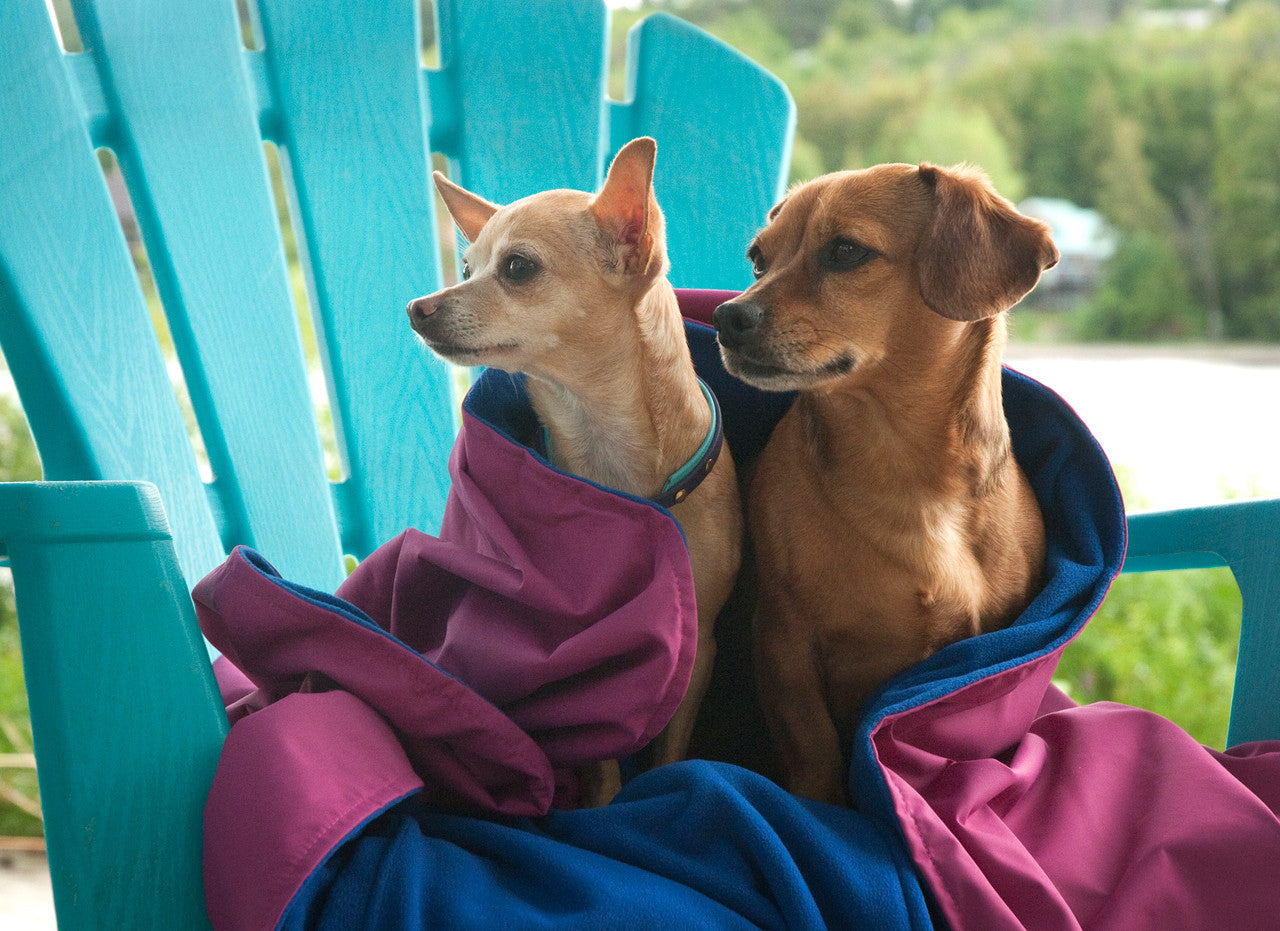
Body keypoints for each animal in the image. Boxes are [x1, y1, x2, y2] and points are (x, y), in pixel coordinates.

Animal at [404, 138, 737, 809]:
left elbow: (672, 743)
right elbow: (602, 750)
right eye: (466, 270)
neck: (603, 436)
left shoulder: (701, 648)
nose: (416, 308)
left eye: (517, 268)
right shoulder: (596, 664)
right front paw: (604, 805)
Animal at [716, 163, 1054, 804]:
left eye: (847, 251)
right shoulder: (783, 643)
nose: (725, 317)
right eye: (757, 261)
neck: (904, 470)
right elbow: (816, 751)